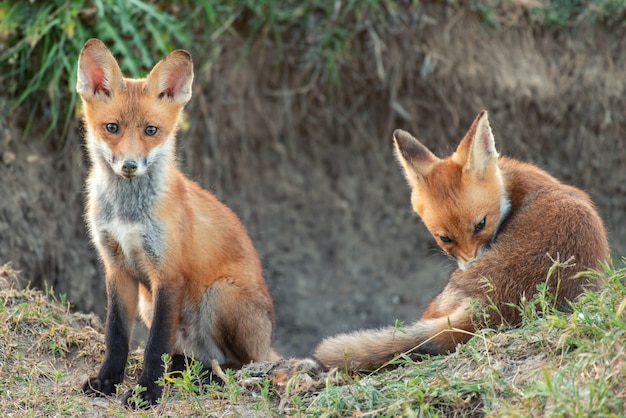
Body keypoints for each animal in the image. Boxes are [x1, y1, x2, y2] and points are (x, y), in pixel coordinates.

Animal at [75, 38, 278, 404]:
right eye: (112, 127)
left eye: (150, 130)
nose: (129, 165)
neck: (128, 214)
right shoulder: (117, 268)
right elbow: (116, 336)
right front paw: (107, 381)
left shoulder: (168, 274)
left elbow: (155, 345)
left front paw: (146, 393)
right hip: (149, 304)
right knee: (190, 357)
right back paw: (186, 372)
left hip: (219, 296)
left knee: (241, 365)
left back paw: (207, 379)